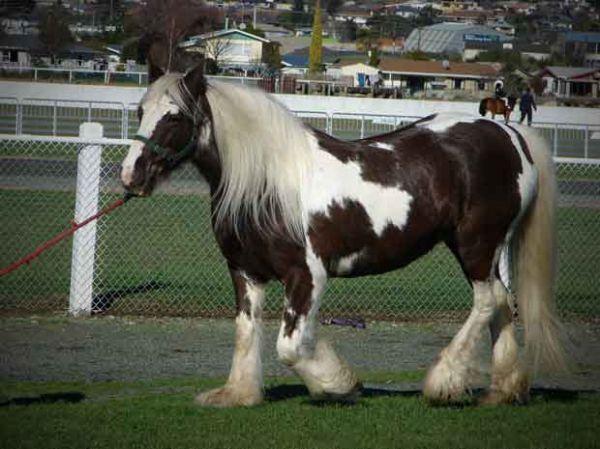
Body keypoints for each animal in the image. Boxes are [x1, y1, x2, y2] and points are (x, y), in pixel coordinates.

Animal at [119, 65, 564, 406]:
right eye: (140, 110)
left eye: (175, 117)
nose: (131, 176)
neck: (267, 183)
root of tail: (511, 136)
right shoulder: (246, 273)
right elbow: (246, 334)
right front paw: (238, 394)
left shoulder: (306, 276)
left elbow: (290, 347)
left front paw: (339, 384)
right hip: (481, 249)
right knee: (502, 302)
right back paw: (503, 390)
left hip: (475, 244)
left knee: (486, 301)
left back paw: (443, 382)